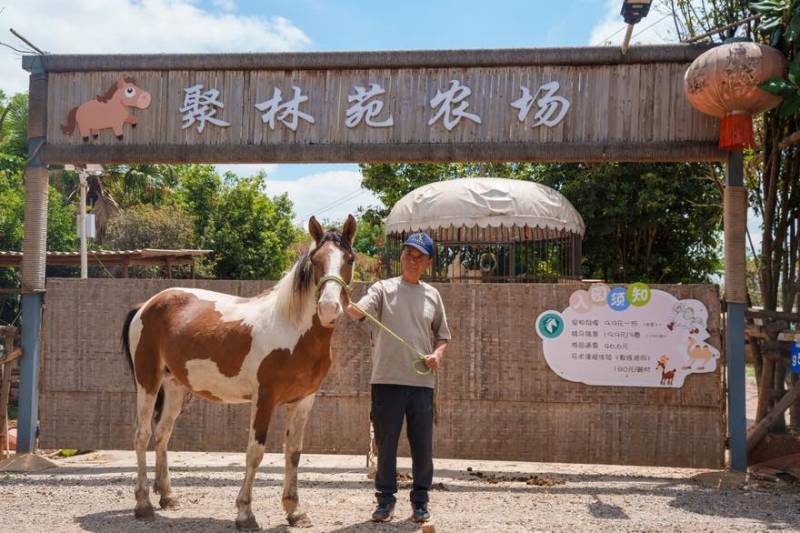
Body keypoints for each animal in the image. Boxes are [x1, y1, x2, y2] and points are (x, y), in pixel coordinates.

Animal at [121, 215, 356, 530]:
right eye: (315, 260)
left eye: (349, 259)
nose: (329, 308)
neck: (292, 331)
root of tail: (145, 306)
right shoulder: (264, 399)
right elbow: (255, 452)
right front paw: (245, 513)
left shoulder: (304, 400)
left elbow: (293, 453)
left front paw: (295, 512)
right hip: (147, 381)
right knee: (142, 435)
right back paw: (143, 503)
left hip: (175, 387)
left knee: (161, 434)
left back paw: (167, 497)